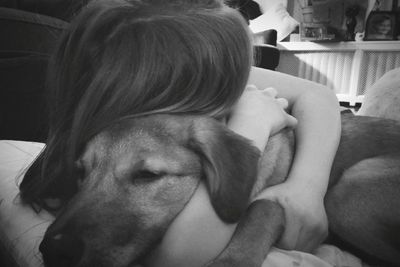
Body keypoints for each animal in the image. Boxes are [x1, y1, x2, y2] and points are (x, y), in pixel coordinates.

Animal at [32, 110, 400, 266]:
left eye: (147, 175)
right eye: (81, 173)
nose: (53, 250)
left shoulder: (278, 200)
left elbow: (258, 210)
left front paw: (233, 259)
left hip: (346, 190)